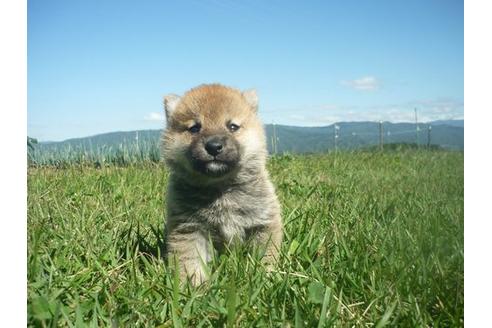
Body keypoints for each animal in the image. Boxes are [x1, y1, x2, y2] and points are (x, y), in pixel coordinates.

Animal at [161, 84, 282, 284]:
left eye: (232, 126)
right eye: (194, 128)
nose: (214, 146)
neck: (221, 188)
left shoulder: (263, 222)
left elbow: (265, 255)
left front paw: (264, 276)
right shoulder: (189, 228)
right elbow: (190, 260)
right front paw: (194, 285)